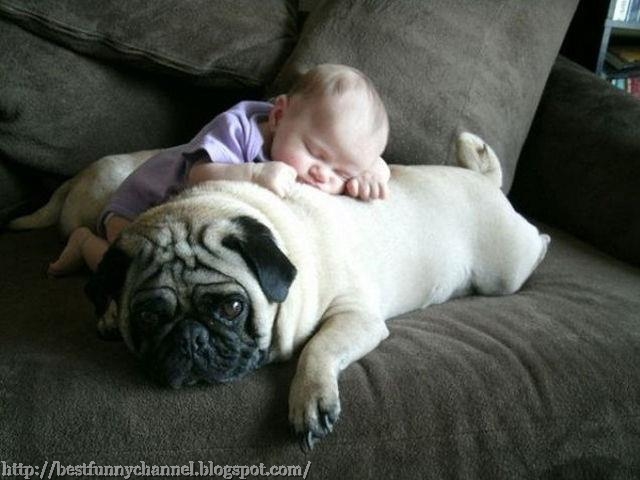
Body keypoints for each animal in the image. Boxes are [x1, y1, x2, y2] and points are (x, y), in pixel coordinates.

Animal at [8, 132, 552, 450]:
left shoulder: (354, 316)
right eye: (148, 317)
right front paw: (107, 315)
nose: (190, 337)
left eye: (231, 307)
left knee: (533, 248)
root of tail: (484, 181)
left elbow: (319, 348)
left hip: (504, 270)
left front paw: (310, 399)